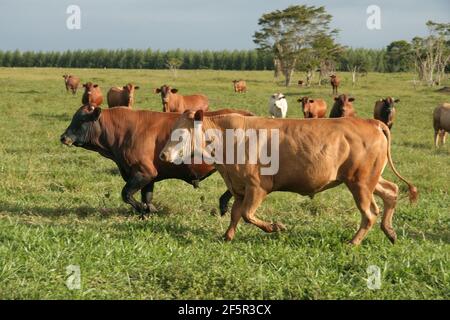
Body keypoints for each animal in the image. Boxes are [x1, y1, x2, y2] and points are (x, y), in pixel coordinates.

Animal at [59, 107, 253, 218]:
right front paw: (147, 211)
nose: (63, 137)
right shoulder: (149, 176)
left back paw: (223, 205)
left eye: (81, 120)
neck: (124, 131)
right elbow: (147, 197)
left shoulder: (143, 172)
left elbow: (127, 194)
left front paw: (143, 211)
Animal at [160, 111, 416, 246]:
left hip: (360, 183)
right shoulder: (239, 187)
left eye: (181, 135)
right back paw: (389, 231)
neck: (230, 139)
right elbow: (235, 214)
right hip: (369, 179)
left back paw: (354, 242)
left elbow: (247, 214)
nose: (162, 155)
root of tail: (372, 122)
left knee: (370, 213)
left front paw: (275, 227)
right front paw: (228, 236)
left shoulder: (257, 187)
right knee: (391, 191)